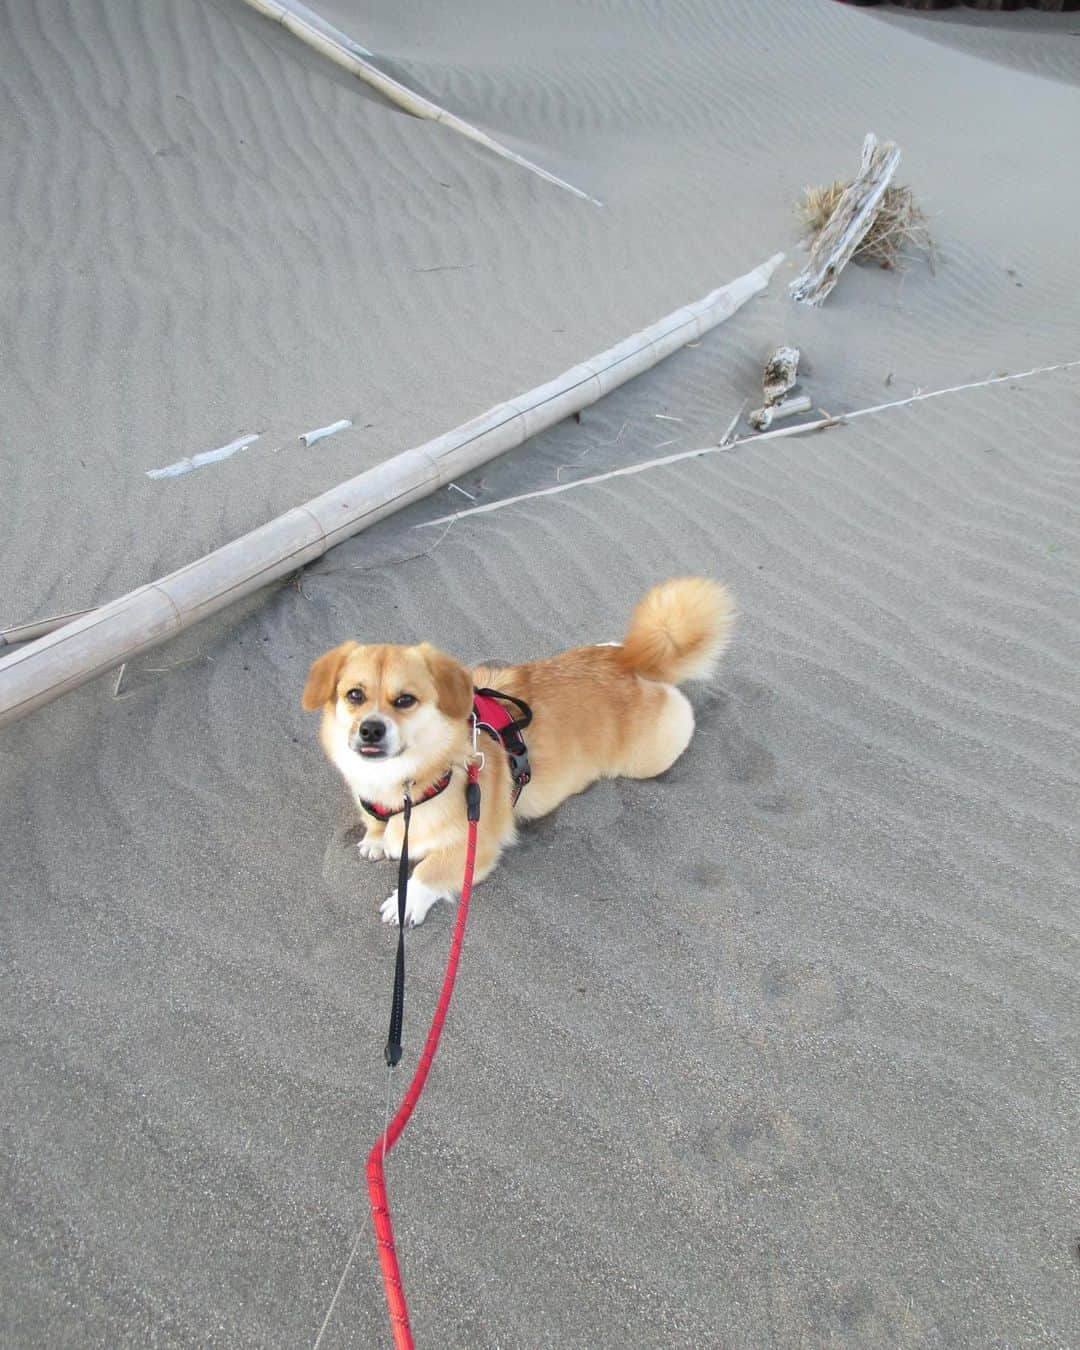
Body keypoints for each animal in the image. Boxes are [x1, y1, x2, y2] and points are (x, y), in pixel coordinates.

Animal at [303, 575, 734, 923]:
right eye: (354, 695)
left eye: (405, 700)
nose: (370, 730)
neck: (401, 784)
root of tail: (631, 663)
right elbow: (374, 826)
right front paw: (375, 839)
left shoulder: (477, 844)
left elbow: (429, 870)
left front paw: (405, 903)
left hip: (651, 757)